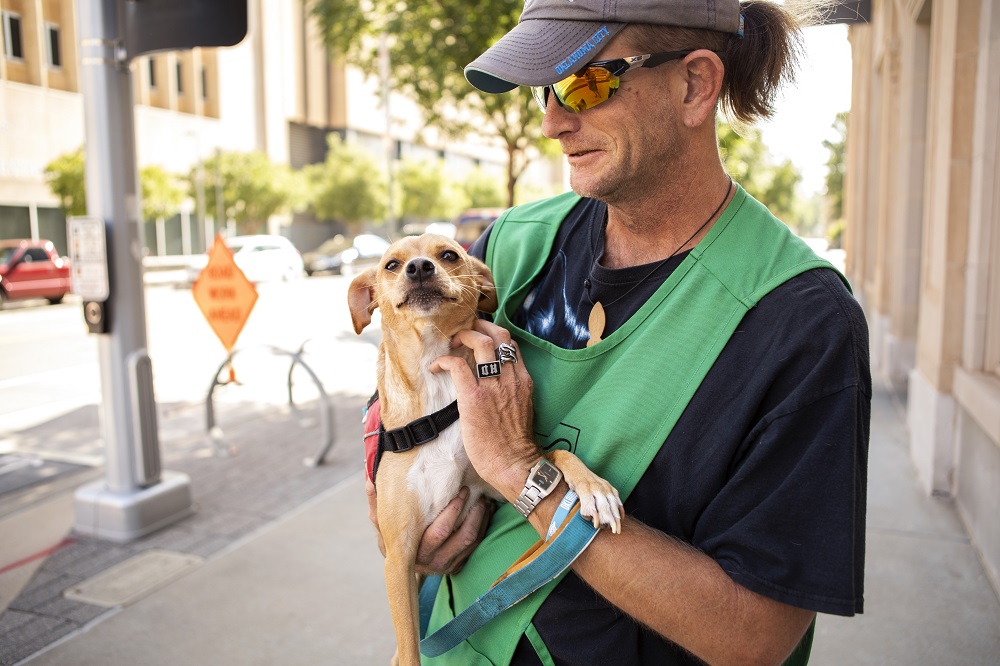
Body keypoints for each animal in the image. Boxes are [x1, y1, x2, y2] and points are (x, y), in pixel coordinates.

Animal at [348, 232, 620, 660]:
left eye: (449, 255)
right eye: (391, 265)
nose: (420, 268)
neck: (435, 382)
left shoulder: (491, 483)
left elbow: (554, 455)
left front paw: (594, 488)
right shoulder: (399, 558)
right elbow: (410, 652)